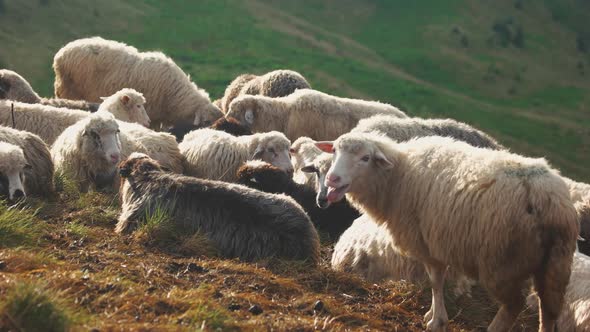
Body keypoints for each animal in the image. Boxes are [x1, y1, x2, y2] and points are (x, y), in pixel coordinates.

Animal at [322, 133, 580, 332]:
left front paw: (436, 320)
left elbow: (436, 280)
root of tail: (547, 200)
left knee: (513, 305)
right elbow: (438, 280)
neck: (398, 176)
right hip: (556, 262)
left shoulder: (427, 242)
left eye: (365, 158)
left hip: (502, 262)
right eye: (334, 151)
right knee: (549, 309)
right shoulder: (440, 239)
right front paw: (432, 314)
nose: (332, 178)